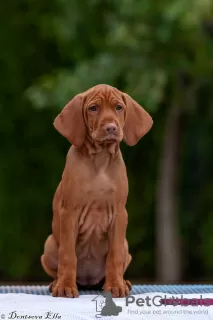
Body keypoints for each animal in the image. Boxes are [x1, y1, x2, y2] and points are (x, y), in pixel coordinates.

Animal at [40, 84, 153, 298]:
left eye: (118, 107)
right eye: (93, 108)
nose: (111, 128)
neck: (100, 160)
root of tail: (87, 281)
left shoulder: (119, 214)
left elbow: (114, 255)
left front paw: (115, 286)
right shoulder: (69, 213)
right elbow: (68, 255)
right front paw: (65, 286)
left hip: (126, 245)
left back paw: (123, 282)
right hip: (49, 245)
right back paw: (56, 282)